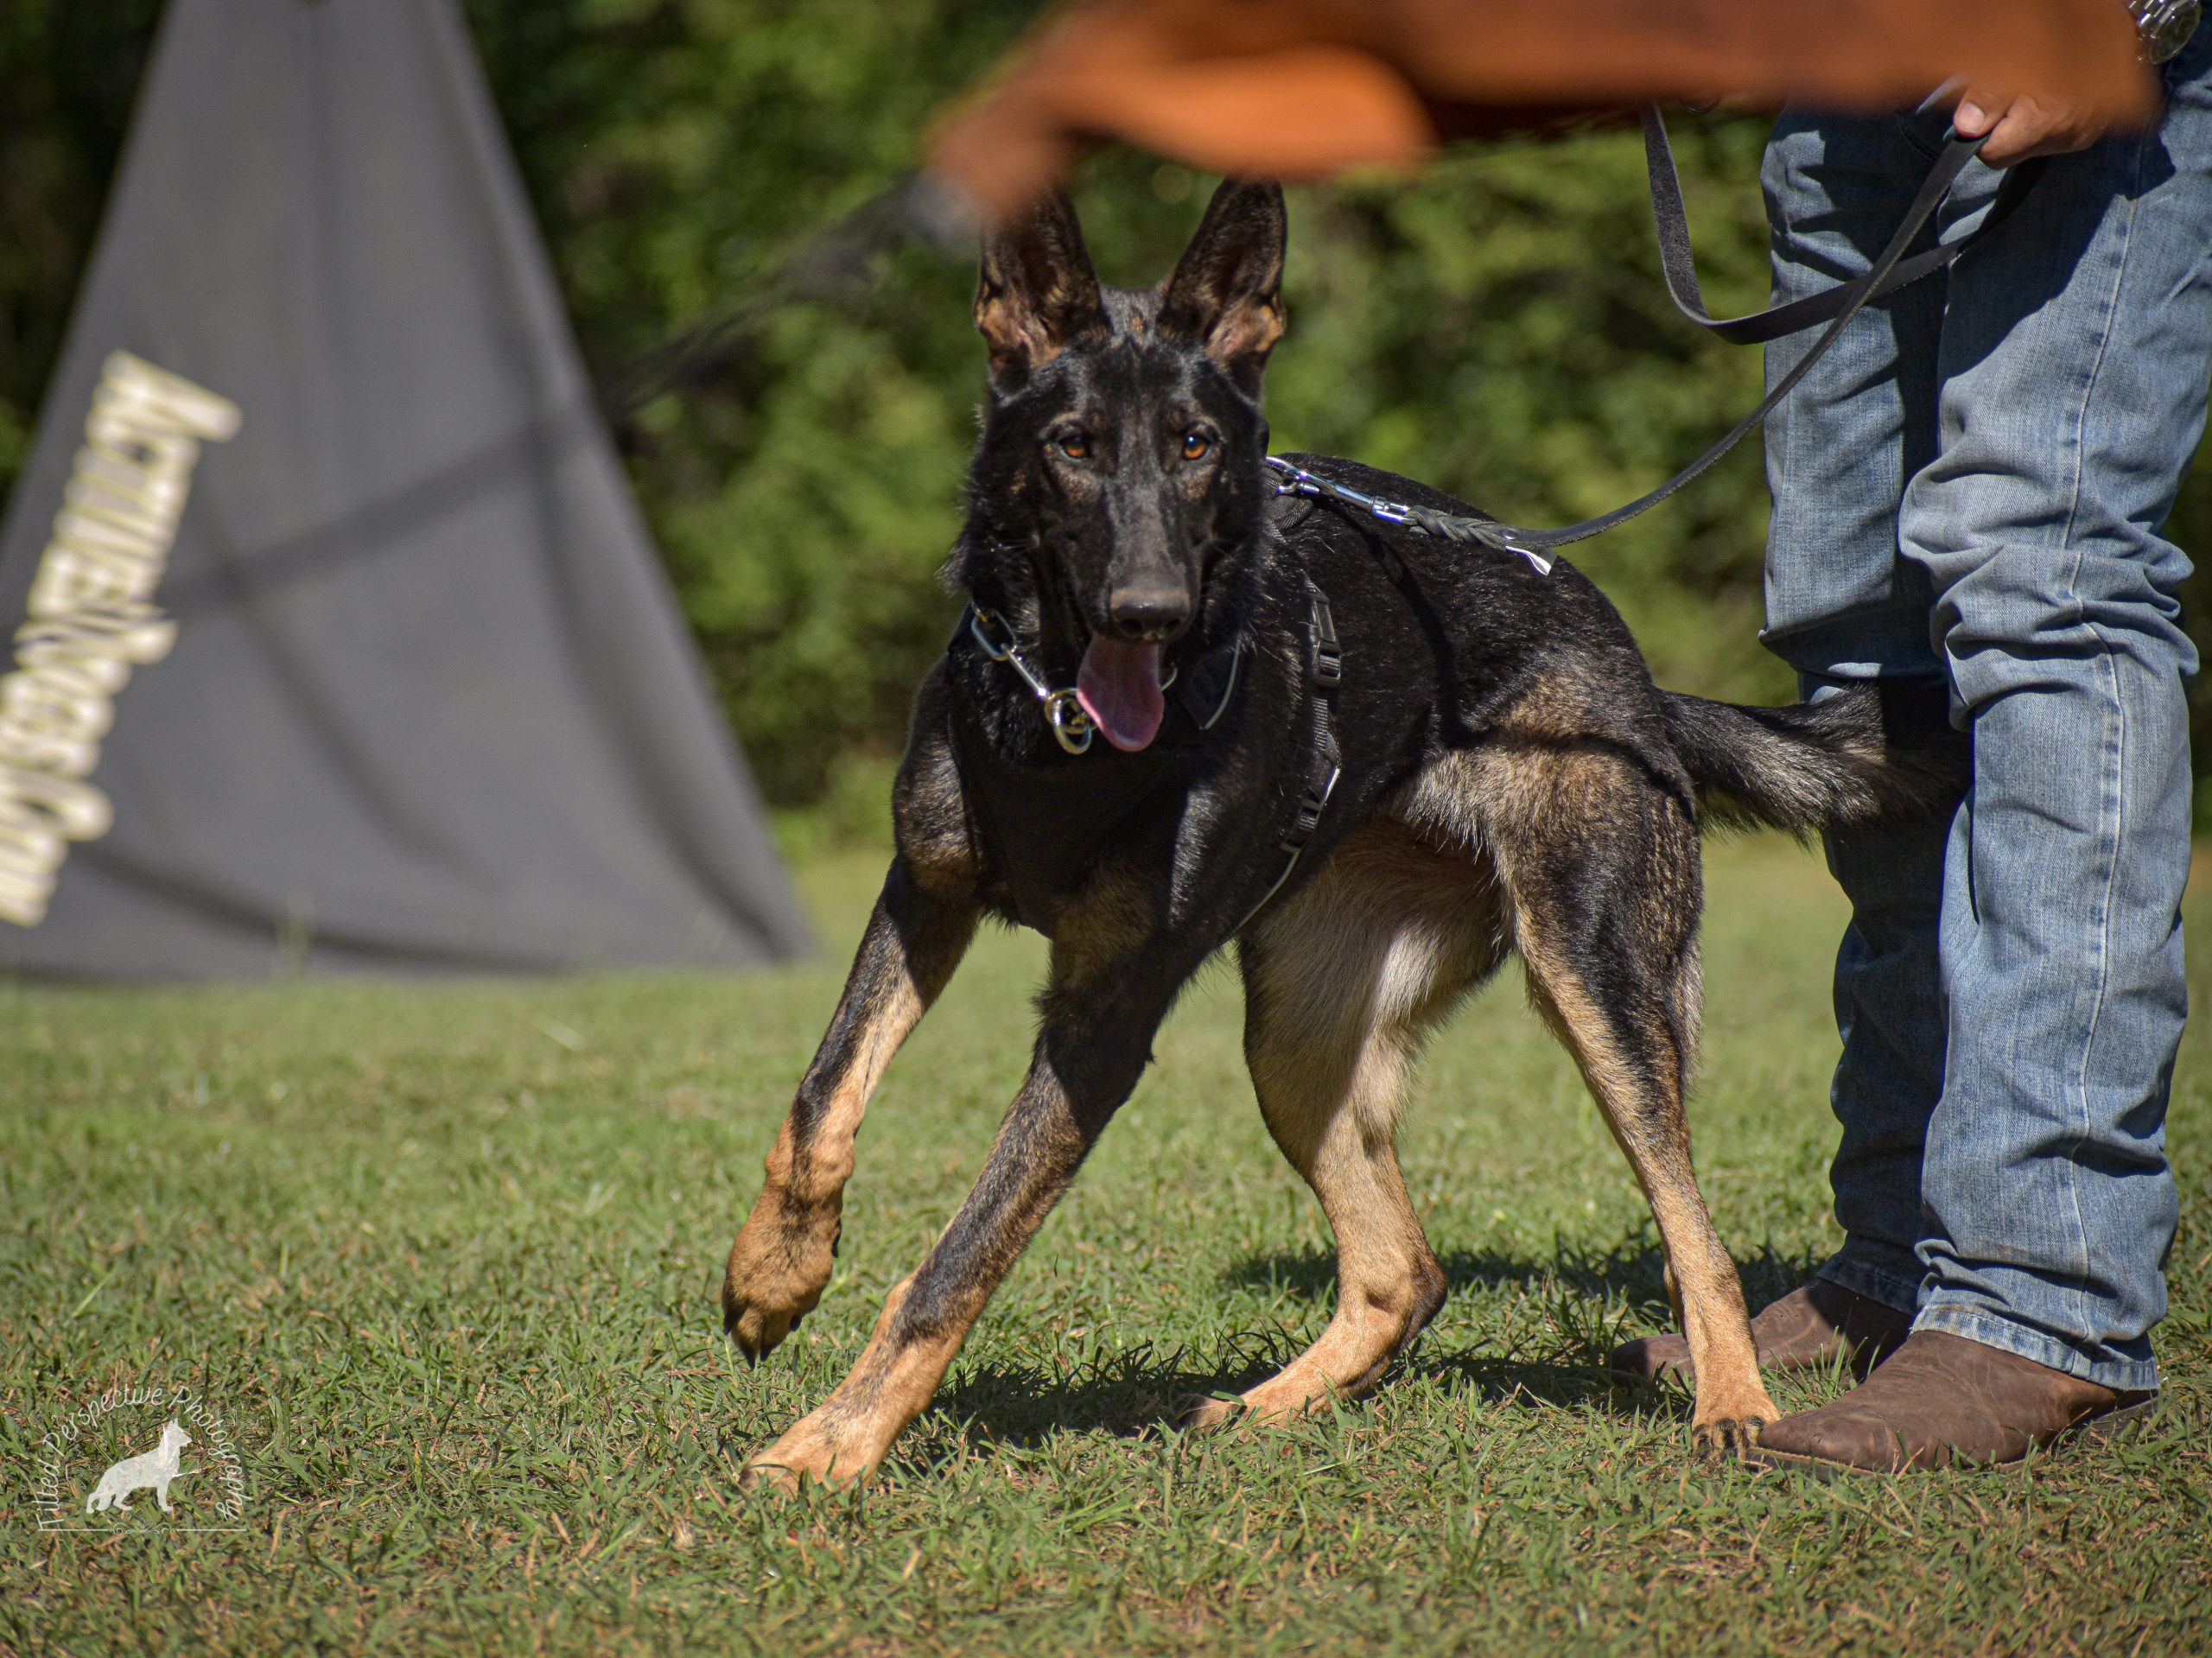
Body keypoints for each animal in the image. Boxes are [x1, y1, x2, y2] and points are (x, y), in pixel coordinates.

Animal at [721, 175, 1955, 1485]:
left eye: (1197, 446)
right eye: (1073, 446)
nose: (1150, 611)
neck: (1056, 718)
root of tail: (1638, 686)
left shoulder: (1100, 1024)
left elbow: (960, 1252)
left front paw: (832, 1442)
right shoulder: (926, 892)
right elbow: (820, 1101)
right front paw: (773, 1276)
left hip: (1598, 982)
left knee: (1689, 1227)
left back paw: (1734, 1399)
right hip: (1299, 1034)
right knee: (1402, 1270)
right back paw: (1268, 1403)